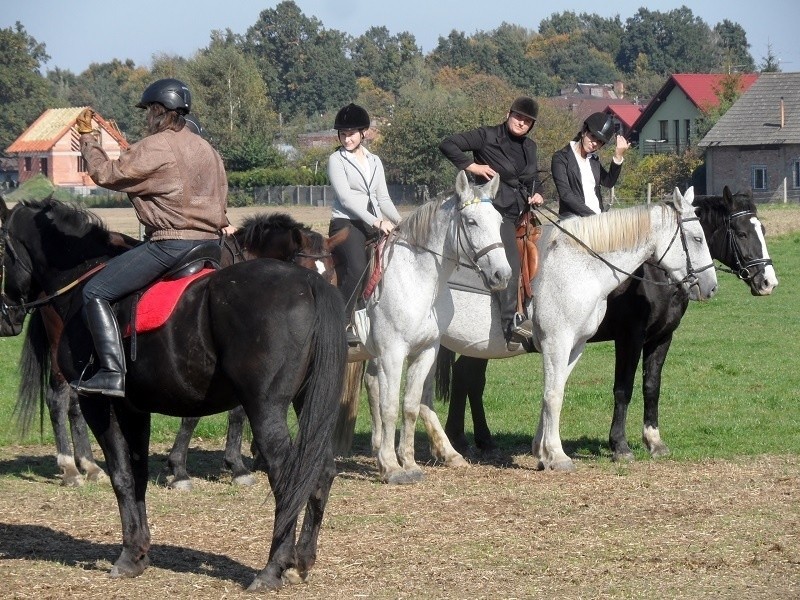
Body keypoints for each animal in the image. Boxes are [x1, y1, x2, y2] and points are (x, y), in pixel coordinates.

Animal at [0, 198, 346, 592]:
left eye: (2, 248)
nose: (7, 316)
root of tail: (307, 287)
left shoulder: (102, 404)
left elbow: (123, 475)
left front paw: (129, 555)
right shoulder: (135, 409)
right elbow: (136, 474)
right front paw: (140, 549)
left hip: (267, 407)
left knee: (291, 477)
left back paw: (273, 569)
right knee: (320, 471)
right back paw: (301, 559)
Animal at [360, 169, 510, 482]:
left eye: (499, 221)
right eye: (471, 221)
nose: (502, 275)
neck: (415, 278)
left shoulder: (425, 350)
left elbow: (410, 405)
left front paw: (408, 463)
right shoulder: (392, 353)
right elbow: (390, 407)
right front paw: (392, 468)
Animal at [440, 188, 780, 460]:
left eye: (762, 228)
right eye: (741, 233)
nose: (768, 282)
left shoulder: (662, 338)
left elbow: (651, 386)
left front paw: (654, 441)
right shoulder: (629, 338)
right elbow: (623, 388)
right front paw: (619, 445)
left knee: (467, 379)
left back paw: (474, 440)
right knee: (468, 380)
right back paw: (466, 440)